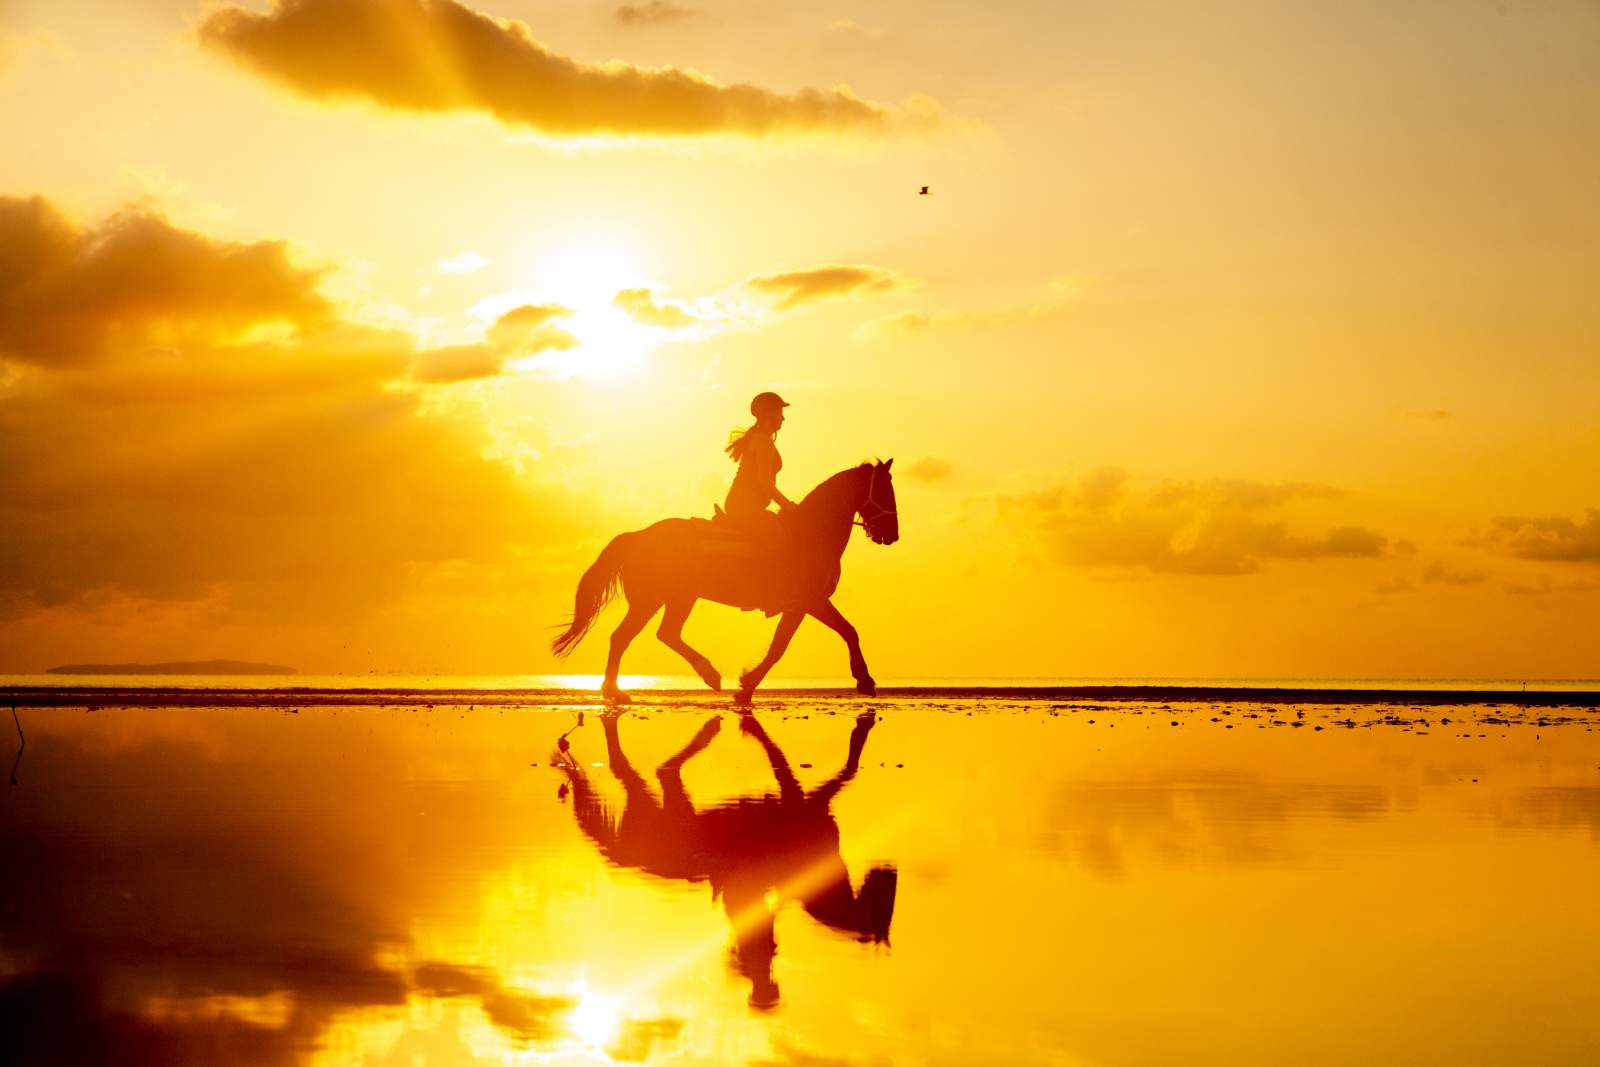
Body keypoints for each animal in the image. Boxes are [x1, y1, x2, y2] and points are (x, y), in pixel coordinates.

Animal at [550, 457, 902, 700]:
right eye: (886, 492)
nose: (892, 535)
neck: (812, 533)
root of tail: (638, 536)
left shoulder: (805, 604)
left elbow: (820, 637)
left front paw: (746, 685)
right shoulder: (808, 602)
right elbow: (815, 639)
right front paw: (865, 680)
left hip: (672, 599)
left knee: (657, 635)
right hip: (656, 600)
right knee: (629, 637)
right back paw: (621, 690)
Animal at [556, 713, 896, 1017]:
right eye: (884, 904)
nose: (890, 871)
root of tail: (635, 859)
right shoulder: (803, 799)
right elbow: (841, 768)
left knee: (653, 771)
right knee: (655, 769)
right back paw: (708, 730)